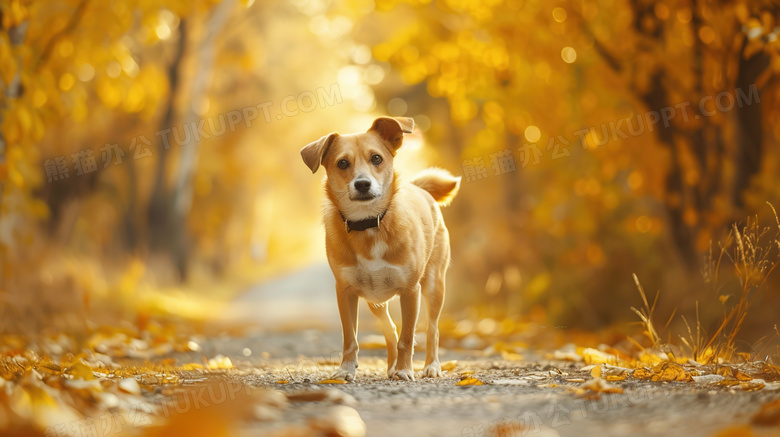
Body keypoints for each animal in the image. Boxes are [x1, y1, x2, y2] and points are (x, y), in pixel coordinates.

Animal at [298, 117, 458, 380]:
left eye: (376, 158)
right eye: (342, 163)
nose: (363, 184)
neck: (369, 224)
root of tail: (418, 188)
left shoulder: (410, 291)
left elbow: (408, 337)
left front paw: (405, 370)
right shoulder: (345, 291)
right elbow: (350, 337)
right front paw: (346, 369)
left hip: (434, 285)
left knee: (432, 329)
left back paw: (431, 366)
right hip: (375, 300)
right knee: (390, 329)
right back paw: (392, 366)